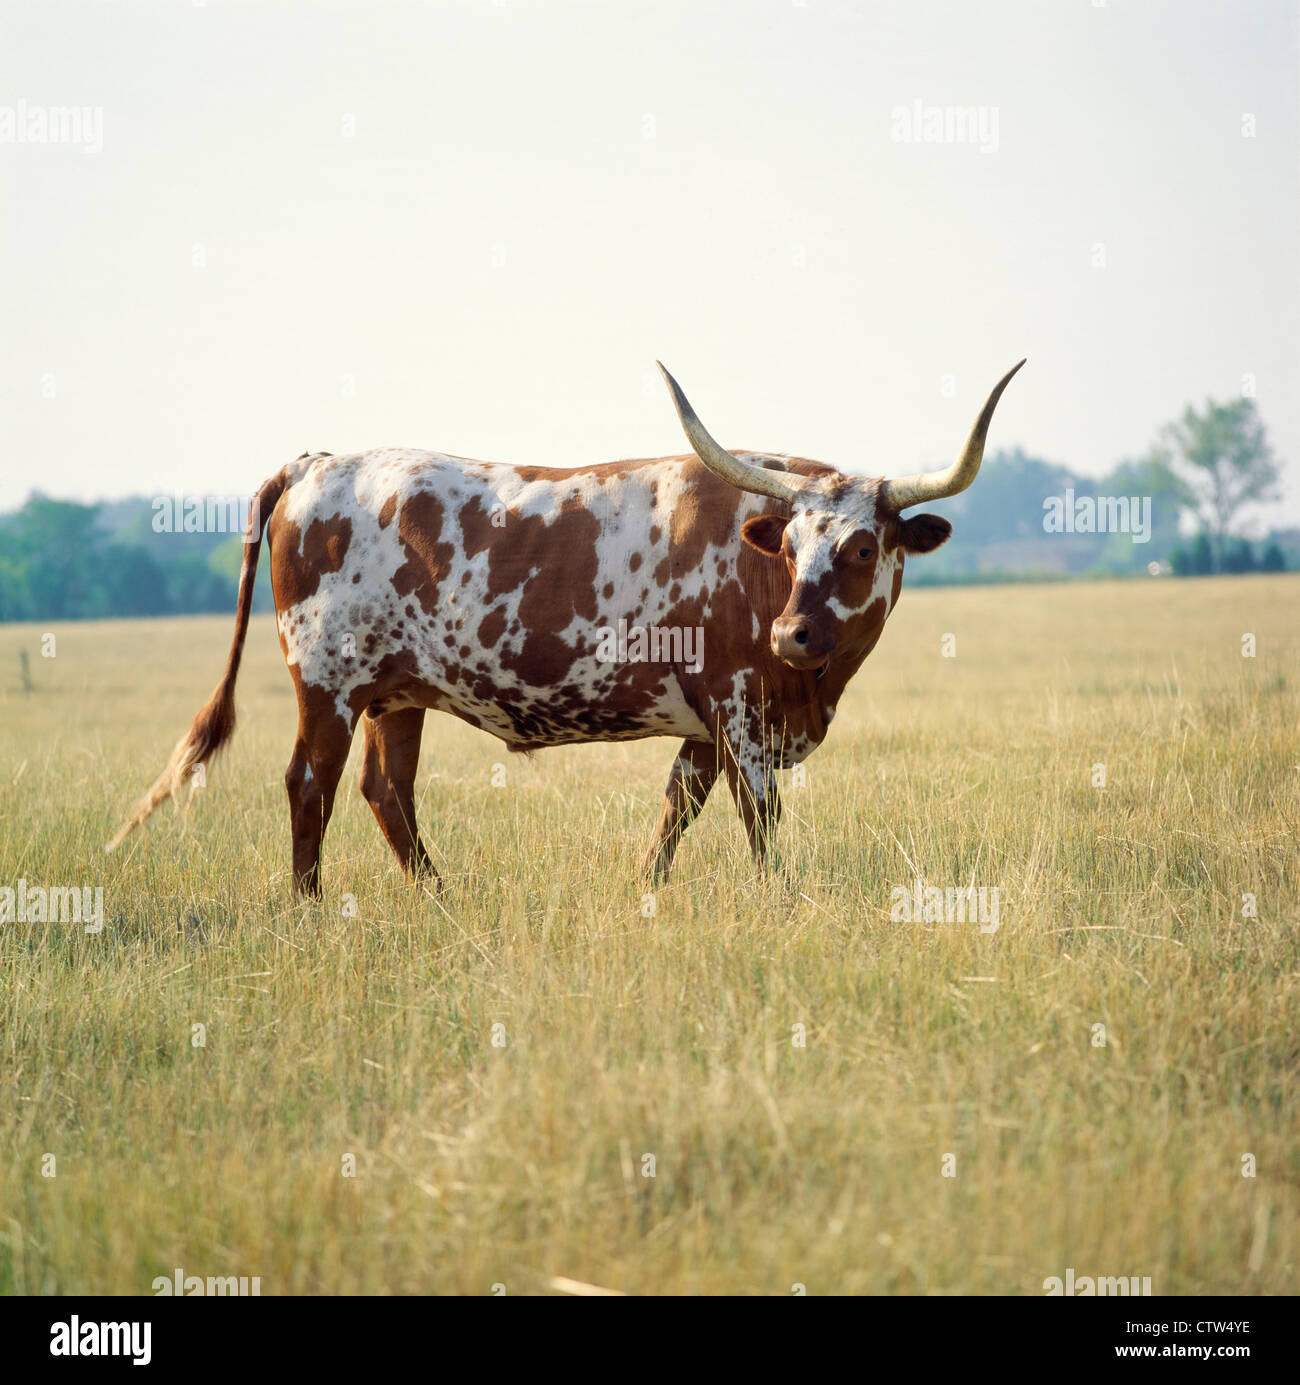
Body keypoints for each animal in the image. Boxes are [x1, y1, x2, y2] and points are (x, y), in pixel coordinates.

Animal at [109, 360, 1024, 897]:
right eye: (792, 545)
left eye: (863, 545)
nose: (793, 634)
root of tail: (317, 462)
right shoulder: (742, 715)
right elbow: (758, 824)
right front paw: (778, 903)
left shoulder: (707, 727)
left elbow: (675, 810)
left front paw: (644, 892)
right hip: (328, 683)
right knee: (311, 783)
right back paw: (309, 910)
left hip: (395, 693)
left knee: (385, 789)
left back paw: (440, 902)